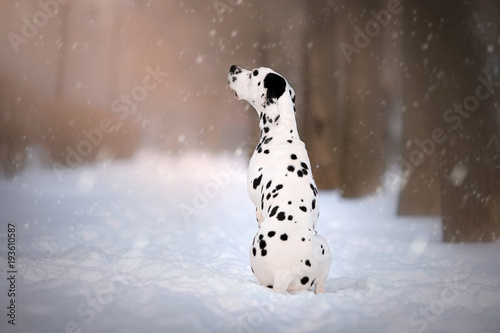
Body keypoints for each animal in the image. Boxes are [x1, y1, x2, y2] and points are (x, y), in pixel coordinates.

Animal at [228, 65, 332, 294]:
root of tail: (285, 273)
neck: (281, 135)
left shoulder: (258, 208)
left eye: (253, 73)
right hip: (325, 249)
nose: (233, 68)